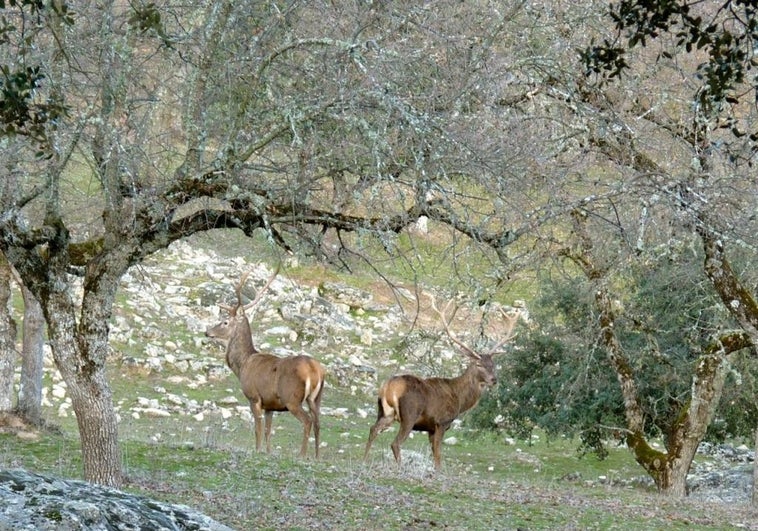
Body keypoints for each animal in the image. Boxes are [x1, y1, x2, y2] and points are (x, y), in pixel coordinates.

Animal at [205, 268, 326, 460]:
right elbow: (269, 431)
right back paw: (316, 456)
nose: (207, 332)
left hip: (292, 398)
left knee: (307, 421)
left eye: (225, 322)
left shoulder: (254, 397)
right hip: (316, 398)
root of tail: (315, 371)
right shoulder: (270, 405)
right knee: (318, 423)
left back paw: (301, 455)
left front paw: (257, 450)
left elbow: (258, 429)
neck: (243, 365)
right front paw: (268, 452)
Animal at [366, 296, 520, 470]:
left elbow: (434, 454)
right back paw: (400, 467)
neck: (460, 400)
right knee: (395, 443)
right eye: (478, 364)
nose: (494, 379)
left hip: (385, 413)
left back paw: (364, 462)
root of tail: (387, 387)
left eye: (493, 364)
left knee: (372, 430)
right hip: (409, 414)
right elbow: (438, 455)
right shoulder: (442, 422)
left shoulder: (430, 429)